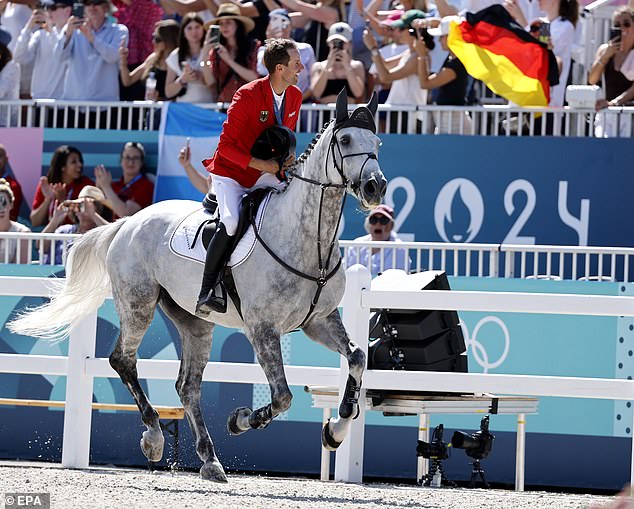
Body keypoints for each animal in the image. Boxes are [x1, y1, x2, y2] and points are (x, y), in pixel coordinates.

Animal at [9, 91, 386, 480]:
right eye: (345, 140)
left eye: (376, 143)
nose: (376, 187)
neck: (310, 240)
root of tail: (128, 221)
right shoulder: (262, 328)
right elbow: (283, 396)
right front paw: (241, 420)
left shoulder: (319, 321)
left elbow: (357, 358)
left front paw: (335, 431)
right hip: (138, 304)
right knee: (123, 360)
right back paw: (154, 437)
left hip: (194, 322)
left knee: (187, 387)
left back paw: (209, 459)